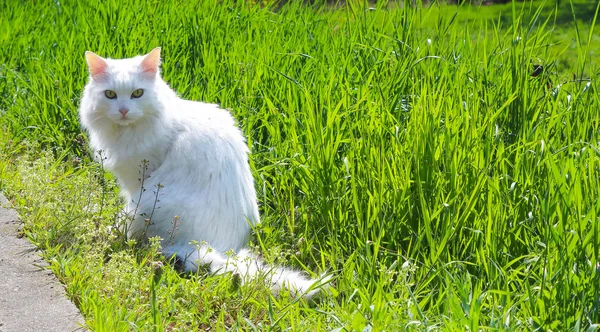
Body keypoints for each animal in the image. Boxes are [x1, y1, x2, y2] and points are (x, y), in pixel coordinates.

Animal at [79, 46, 326, 298]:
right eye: (110, 94)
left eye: (137, 93)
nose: (123, 110)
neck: (126, 132)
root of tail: (221, 249)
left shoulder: (137, 179)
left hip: (143, 202)